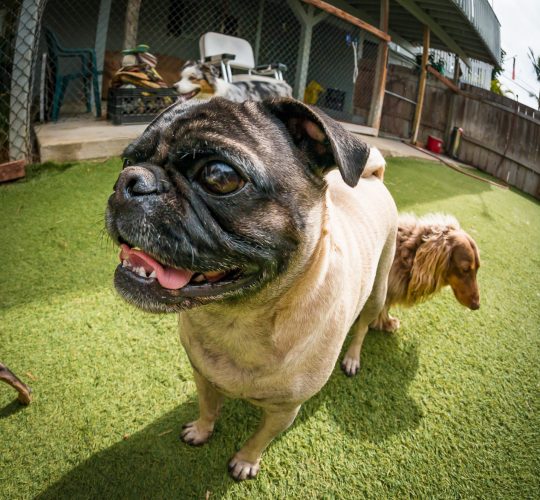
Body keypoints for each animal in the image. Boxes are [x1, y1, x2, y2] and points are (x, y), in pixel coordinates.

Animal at [106, 97, 397, 480]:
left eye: (219, 177)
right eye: (127, 161)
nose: (129, 180)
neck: (237, 317)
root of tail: (373, 177)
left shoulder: (284, 411)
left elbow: (260, 439)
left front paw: (245, 461)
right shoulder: (202, 376)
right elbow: (209, 409)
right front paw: (201, 430)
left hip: (378, 290)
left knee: (363, 326)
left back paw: (351, 358)